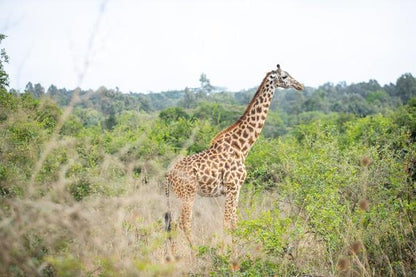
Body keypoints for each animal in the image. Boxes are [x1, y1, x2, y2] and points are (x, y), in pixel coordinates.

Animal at [164, 64, 304, 248]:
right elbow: (226, 224)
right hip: (187, 194)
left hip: (175, 196)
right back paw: (195, 251)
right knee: (184, 222)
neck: (242, 147)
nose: (300, 85)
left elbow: (234, 223)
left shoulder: (237, 189)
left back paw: (173, 254)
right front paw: (227, 252)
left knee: (171, 224)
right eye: (285, 76)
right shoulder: (232, 187)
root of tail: (168, 175)